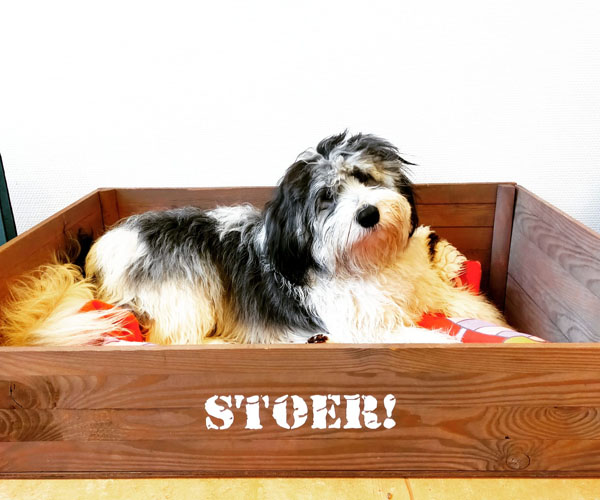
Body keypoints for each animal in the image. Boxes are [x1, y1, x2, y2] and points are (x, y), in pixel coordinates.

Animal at [0, 132, 506, 346]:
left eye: (364, 176)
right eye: (326, 198)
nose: (368, 213)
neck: (364, 264)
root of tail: (94, 256)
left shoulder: (417, 291)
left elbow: (465, 304)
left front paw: (489, 316)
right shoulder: (363, 328)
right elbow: (427, 339)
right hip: (190, 294)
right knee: (172, 338)